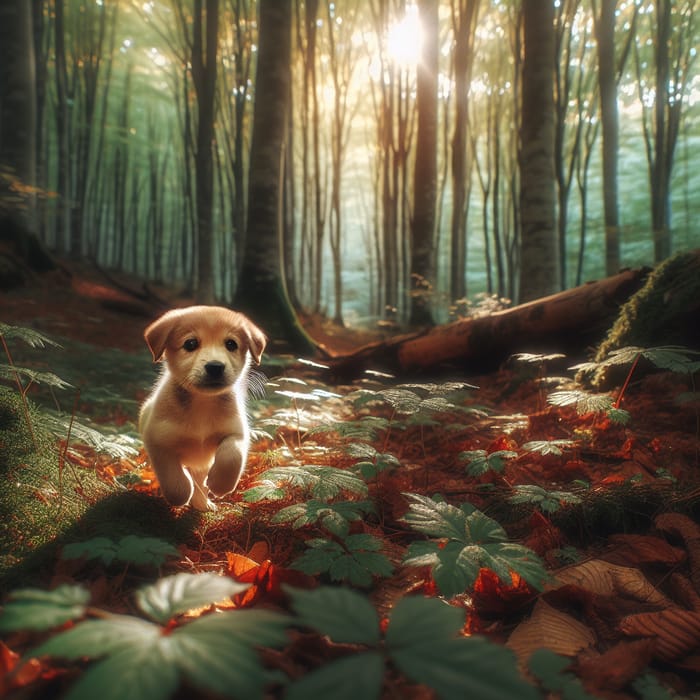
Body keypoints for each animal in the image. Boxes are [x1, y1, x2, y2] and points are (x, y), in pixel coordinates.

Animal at [139, 304, 266, 508]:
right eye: (190, 344)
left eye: (231, 344)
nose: (215, 367)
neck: (203, 402)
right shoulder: (158, 442)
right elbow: (174, 481)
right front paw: (183, 491)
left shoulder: (236, 433)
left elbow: (232, 457)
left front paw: (220, 485)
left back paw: (203, 504)